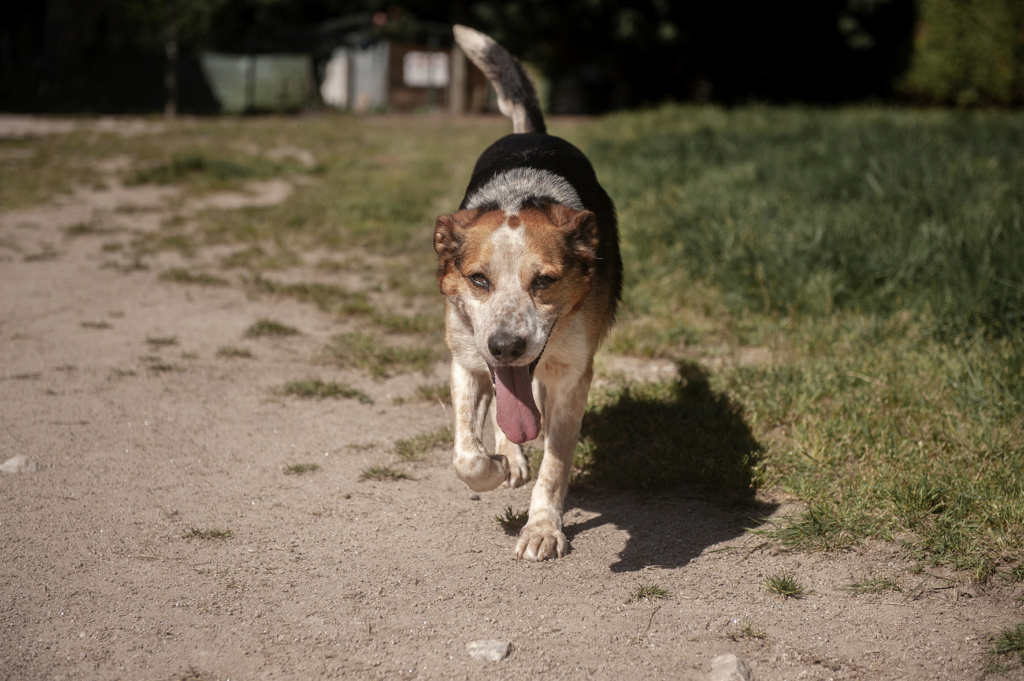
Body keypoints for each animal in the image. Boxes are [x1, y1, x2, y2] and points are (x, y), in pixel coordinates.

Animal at [434, 25, 622, 557]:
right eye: (479, 279)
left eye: (545, 281)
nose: (505, 345)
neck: (519, 195)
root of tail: (531, 133)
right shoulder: (466, 359)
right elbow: (467, 456)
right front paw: (499, 464)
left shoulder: (573, 375)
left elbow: (555, 464)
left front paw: (542, 528)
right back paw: (511, 457)